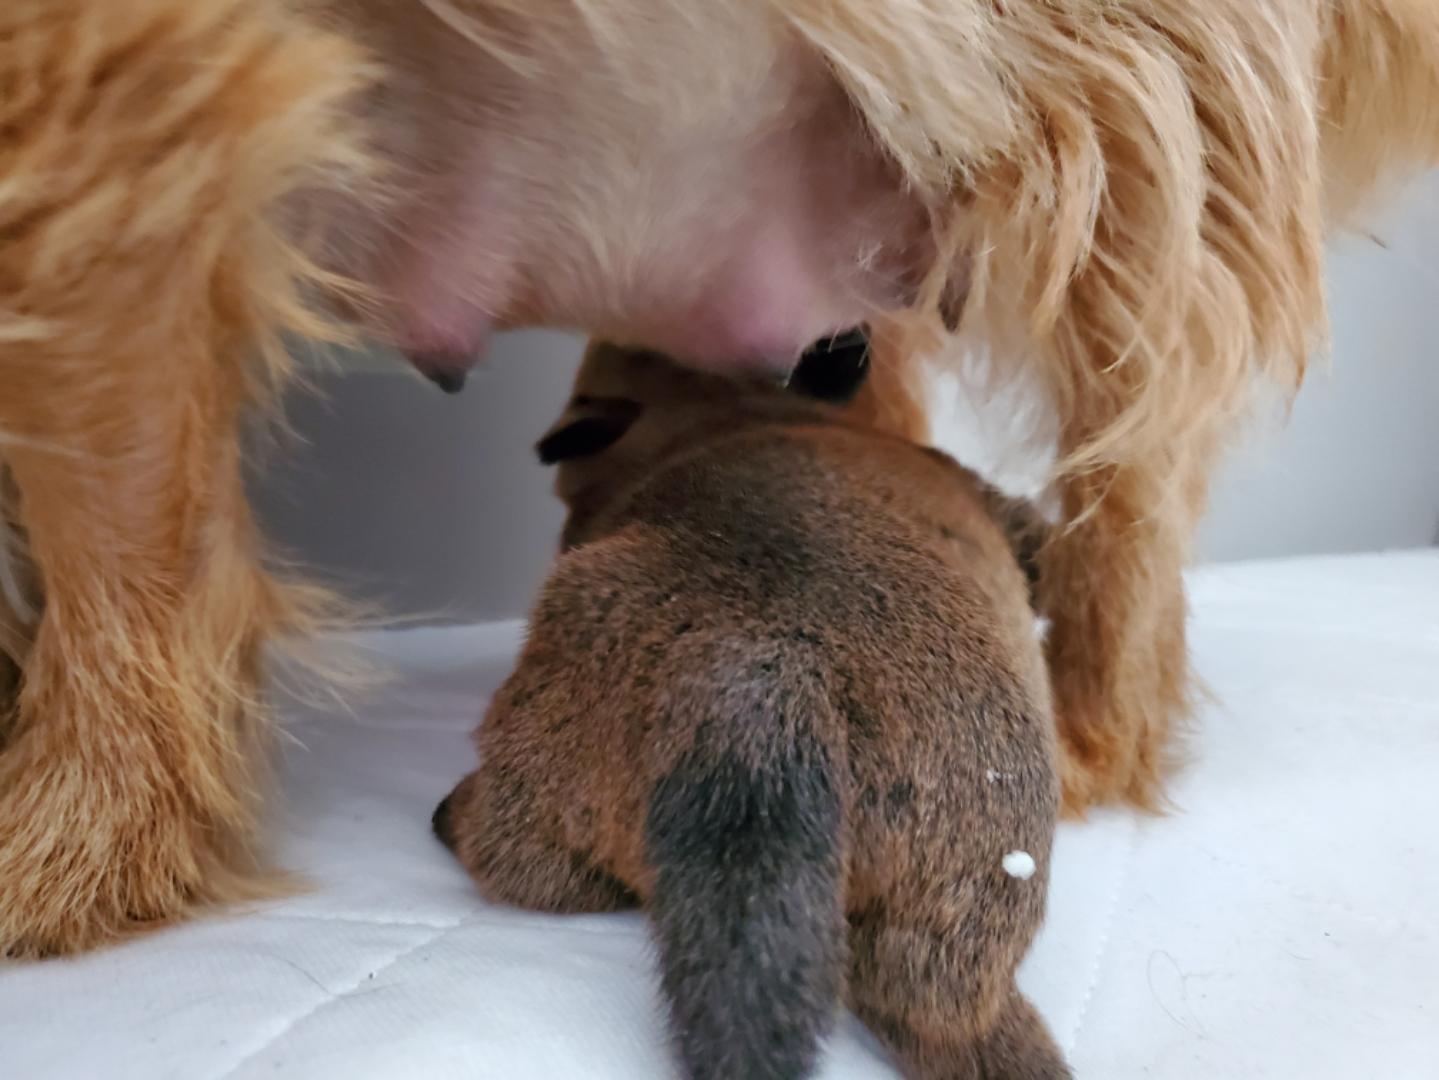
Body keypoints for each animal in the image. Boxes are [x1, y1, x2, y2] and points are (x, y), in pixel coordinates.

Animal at [2, 0, 1437, 956]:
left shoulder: (121, 121)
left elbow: (128, 548)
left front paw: (64, 853)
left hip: (1131, 141)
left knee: (1135, 476)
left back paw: (1083, 737)